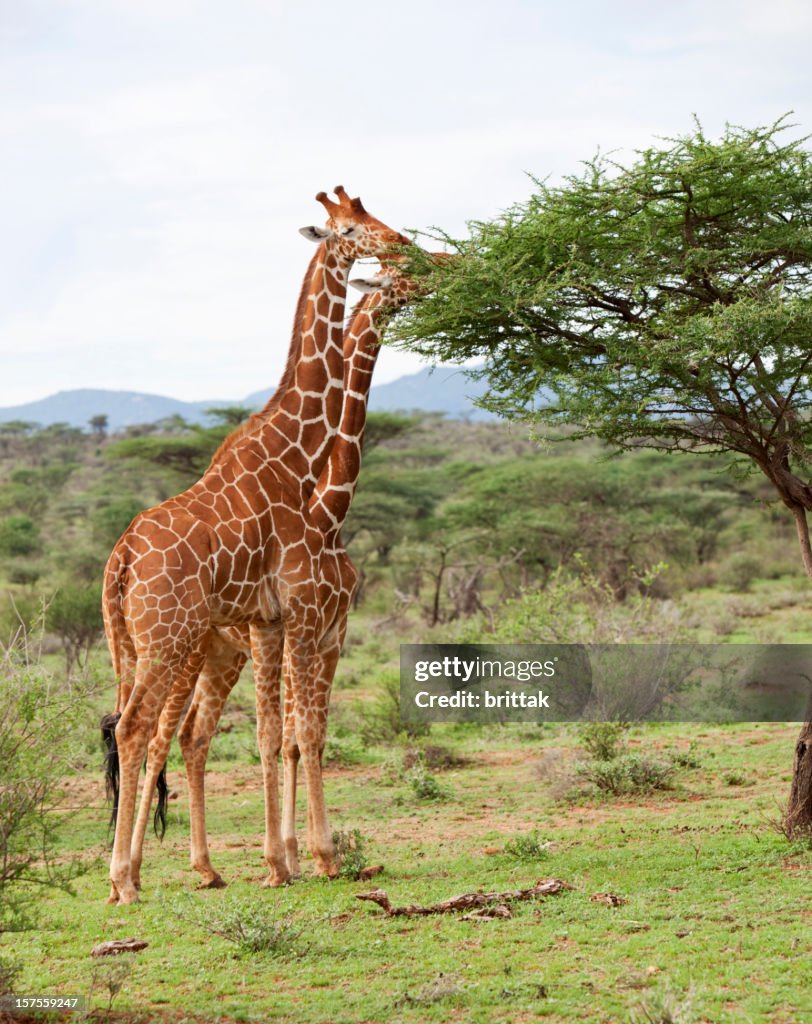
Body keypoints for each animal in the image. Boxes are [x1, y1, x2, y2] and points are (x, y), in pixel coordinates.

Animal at [100, 186, 405, 905]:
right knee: (143, 730)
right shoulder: (307, 618)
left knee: (161, 733)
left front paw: (285, 859)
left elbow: (280, 735)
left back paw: (167, 871)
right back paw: (128, 878)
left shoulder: (274, 623)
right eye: (351, 229)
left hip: (141, 645)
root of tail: (121, 557)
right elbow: (301, 734)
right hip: (175, 640)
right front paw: (310, 857)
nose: (406, 246)